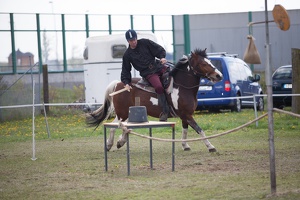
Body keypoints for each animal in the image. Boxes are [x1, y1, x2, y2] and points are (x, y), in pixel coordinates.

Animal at [86, 48, 223, 152]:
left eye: (210, 61)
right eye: (203, 64)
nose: (219, 75)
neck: (181, 87)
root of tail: (120, 84)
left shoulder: (185, 116)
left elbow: (185, 130)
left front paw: (185, 146)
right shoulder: (187, 115)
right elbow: (199, 130)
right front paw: (210, 146)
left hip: (128, 113)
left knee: (124, 127)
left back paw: (120, 141)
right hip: (122, 114)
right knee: (114, 126)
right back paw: (110, 144)